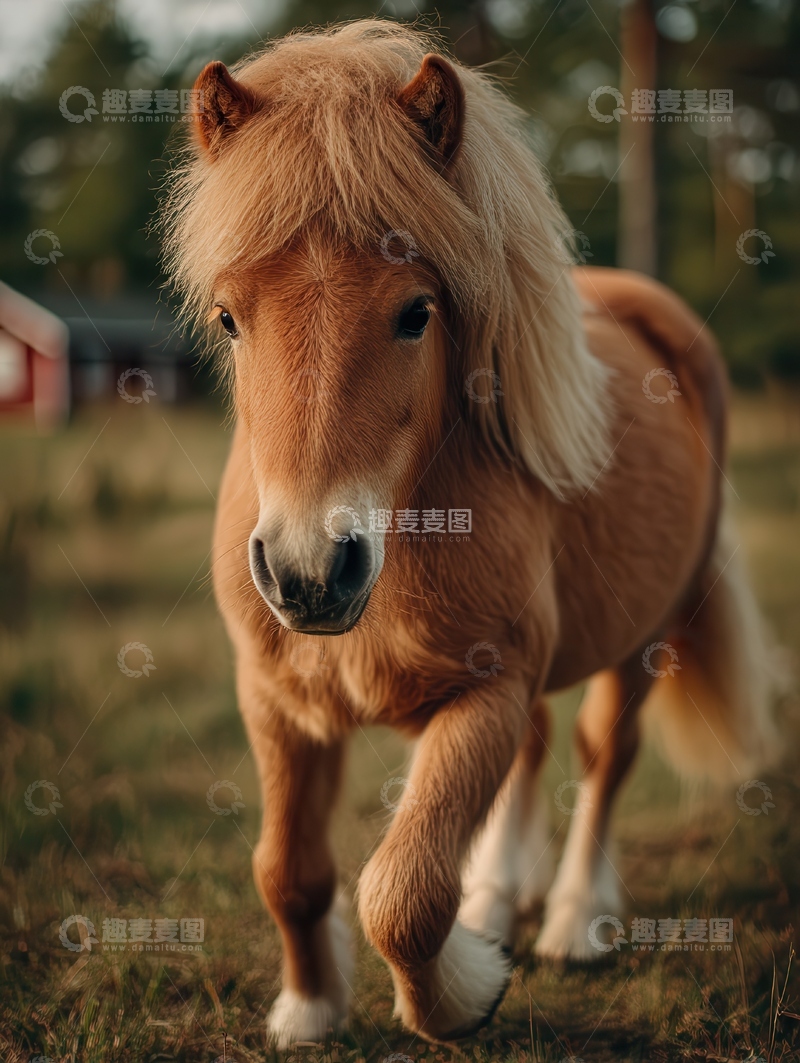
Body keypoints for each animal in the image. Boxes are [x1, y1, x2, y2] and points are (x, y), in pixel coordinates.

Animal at [162, 20, 777, 1046]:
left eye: (417, 312)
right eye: (229, 317)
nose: (309, 572)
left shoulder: (484, 692)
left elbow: (403, 893)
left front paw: (464, 991)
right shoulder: (276, 702)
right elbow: (289, 871)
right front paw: (310, 1008)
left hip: (644, 640)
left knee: (602, 756)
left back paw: (572, 920)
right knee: (539, 748)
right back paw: (495, 896)